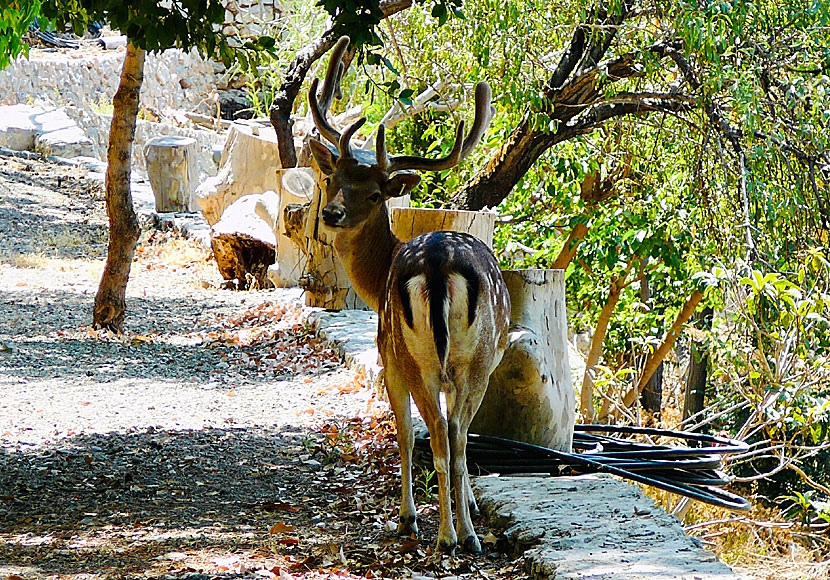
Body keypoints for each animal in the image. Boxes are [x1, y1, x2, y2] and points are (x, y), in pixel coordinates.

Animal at [308, 36, 510, 552]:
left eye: (376, 194)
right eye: (333, 179)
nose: (332, 214)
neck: (377, 273)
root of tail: (437, 266)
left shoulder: (387, 358)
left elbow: (401, 433)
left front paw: (407, 517)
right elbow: (458, 436)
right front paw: (468, 505)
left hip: (413, 353)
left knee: (438, 431)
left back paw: (447, 536)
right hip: (474, 358)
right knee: (456, 433)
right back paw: (466, 533)